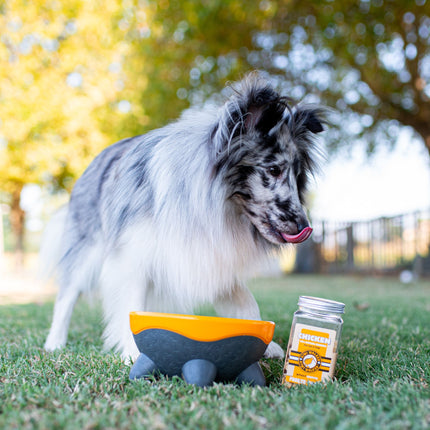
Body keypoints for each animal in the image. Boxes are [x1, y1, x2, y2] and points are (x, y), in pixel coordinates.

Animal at [42, 72, 326, 362]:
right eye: (274, 170)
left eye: (297, 175)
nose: (305, 227)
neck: (217, 206)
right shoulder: (132, 255)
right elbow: (131, 305)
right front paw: (134, 353)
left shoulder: (213, 257)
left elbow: (246, 302)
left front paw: (265, 344)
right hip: (85, 250)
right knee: (66, 296)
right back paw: (54, 343)